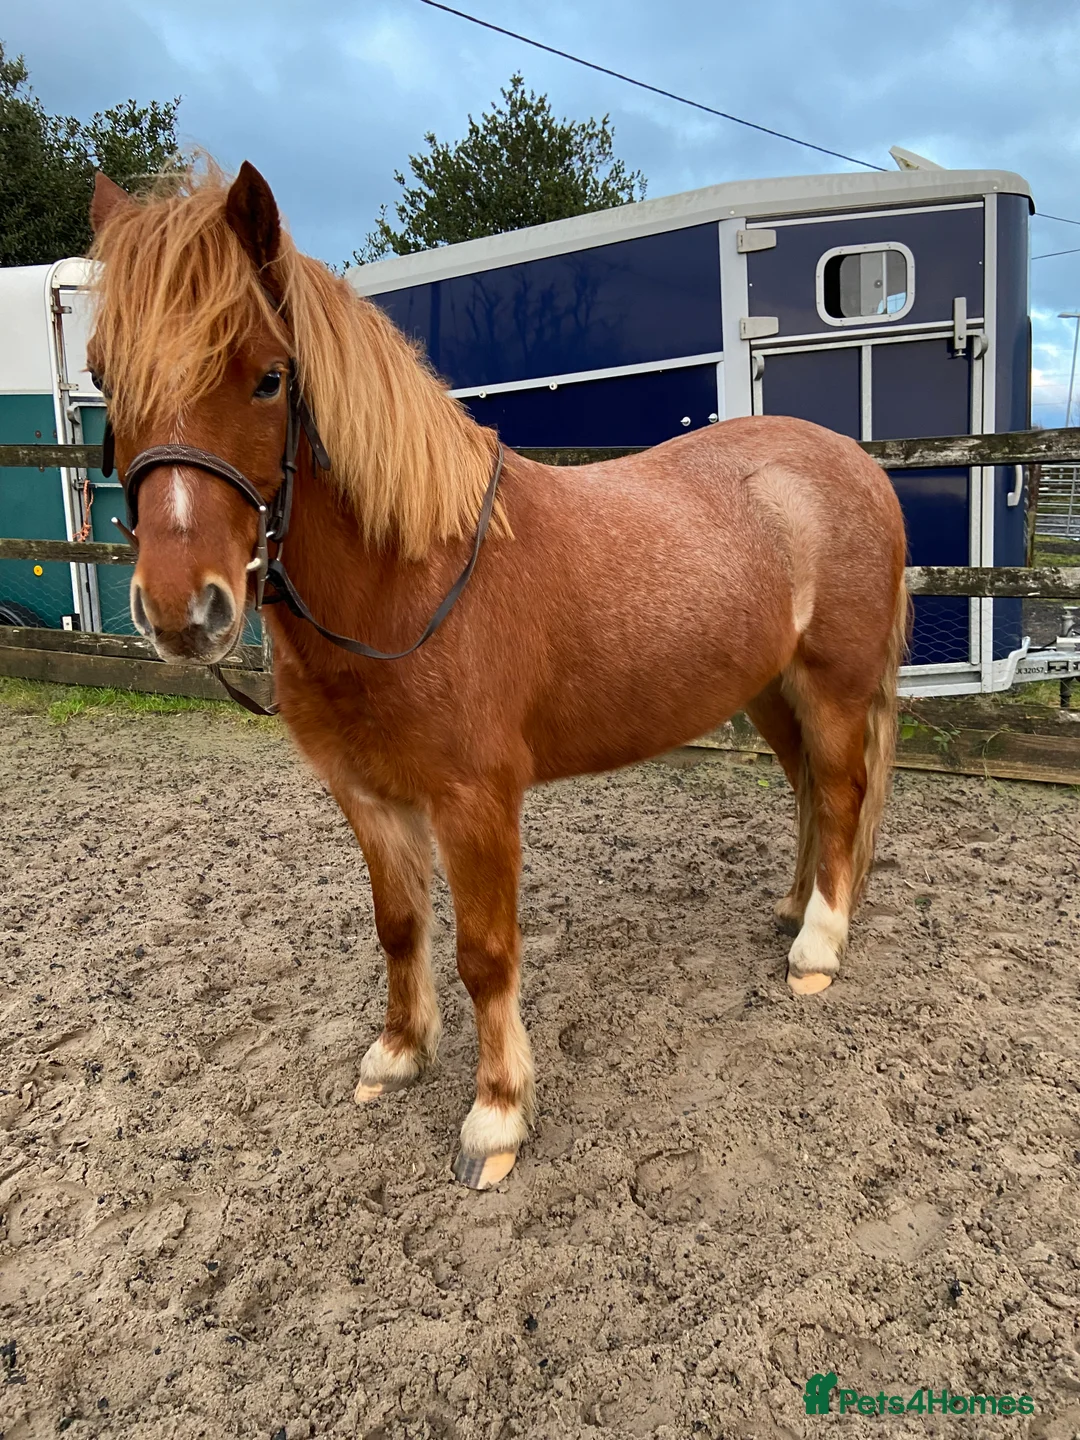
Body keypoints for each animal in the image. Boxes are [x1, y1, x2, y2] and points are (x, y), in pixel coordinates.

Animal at [87, 161, 908, 1190]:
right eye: (102, 379)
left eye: (268, 378)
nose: (179, 611)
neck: (413, 578)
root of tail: (857, 466)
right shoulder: (368, 795)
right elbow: (400, 926)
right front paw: (398, 1054)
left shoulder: (474, 800)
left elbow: (484, 953)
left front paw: (497, 1114)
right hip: (770, 689)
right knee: (806, 792)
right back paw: (793, 910)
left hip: (832, 685)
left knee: (839, 794)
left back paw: (818, 947)